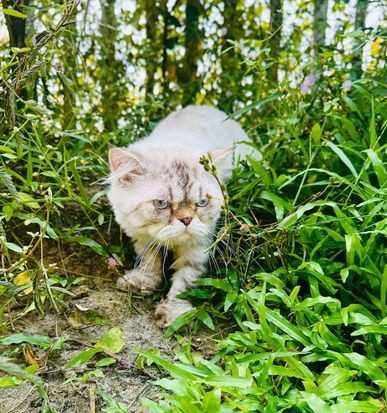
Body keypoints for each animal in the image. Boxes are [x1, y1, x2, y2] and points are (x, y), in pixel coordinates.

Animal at [107, 104, 260, 326]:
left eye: (202, 202)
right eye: (161, 204)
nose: (187, 220)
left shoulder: (197, 248)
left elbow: (184, 282)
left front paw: (174, 314)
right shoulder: (142, 236)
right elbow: (149, 260)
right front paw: (142, 281)